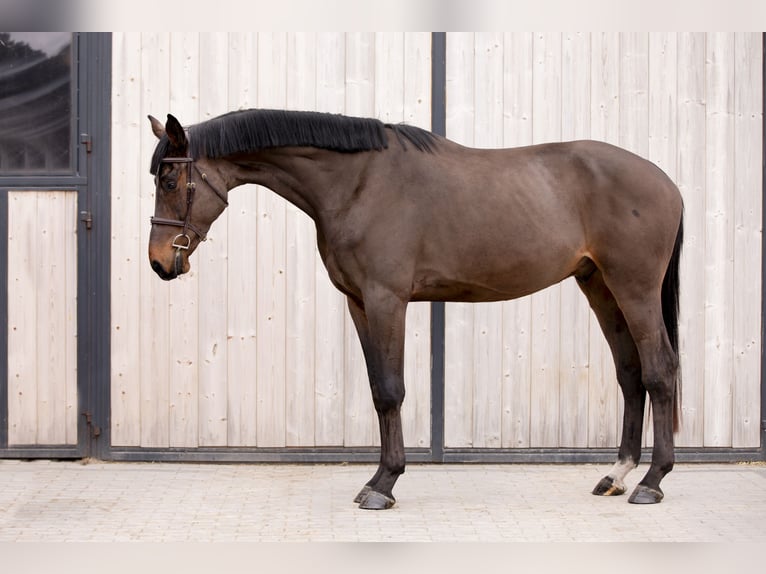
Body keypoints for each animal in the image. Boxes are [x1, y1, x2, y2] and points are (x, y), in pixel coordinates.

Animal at [147, 109, 683, 509]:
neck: (357, 183)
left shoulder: (387, 299)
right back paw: (617, 475)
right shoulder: (359, 302)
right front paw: (378, 478)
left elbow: (391, 389)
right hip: (600, 287)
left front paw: (383, 485)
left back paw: (652, 482)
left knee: (659, 370)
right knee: (630, 373)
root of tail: (666, 182)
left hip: (634, 287)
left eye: (170, 179)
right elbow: (377, 390)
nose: (159, 262)